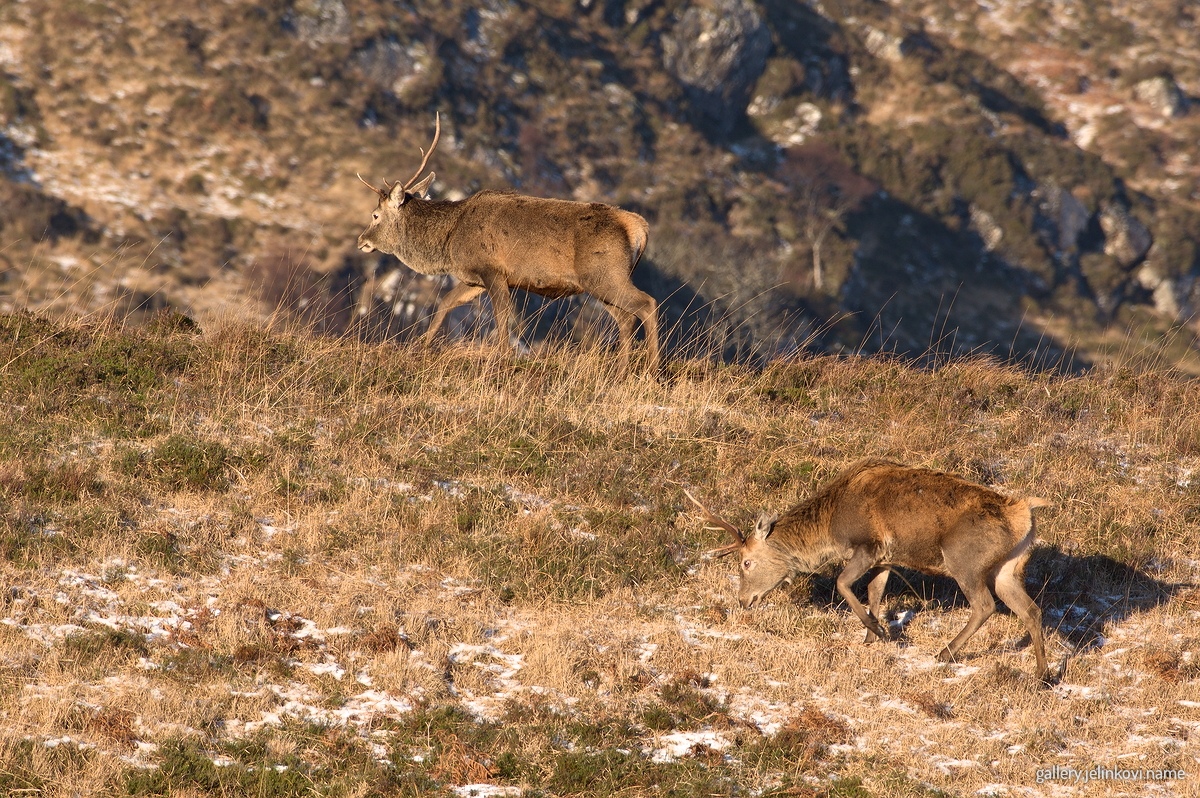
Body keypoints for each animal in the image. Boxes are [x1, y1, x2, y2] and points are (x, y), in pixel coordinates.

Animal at [356, 113, 660, 372]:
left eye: (375, 215)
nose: (361, 241)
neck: (448, 241)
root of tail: (638, 227)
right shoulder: (474, 279)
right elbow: (446, 302)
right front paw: (422, 345)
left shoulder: (492, 269)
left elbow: (502, 315)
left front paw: (502, 357)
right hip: (599, 281)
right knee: (626, 317)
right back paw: (622, 370)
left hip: (604, 274)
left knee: (647, 304)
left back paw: (651, 370)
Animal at [685, 459, 1051, 680]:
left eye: (746, 562)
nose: (743, 600)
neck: (830, 526)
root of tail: (1024, 512)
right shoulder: (885, 559)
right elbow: (875, 593)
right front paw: (871, 637)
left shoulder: (867, 545)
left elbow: (843, 583)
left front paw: (876, 630)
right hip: (1007, 568)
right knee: (1032, 610)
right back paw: (1043, 675)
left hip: (966, 560)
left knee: (985, 605)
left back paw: (944, 652)